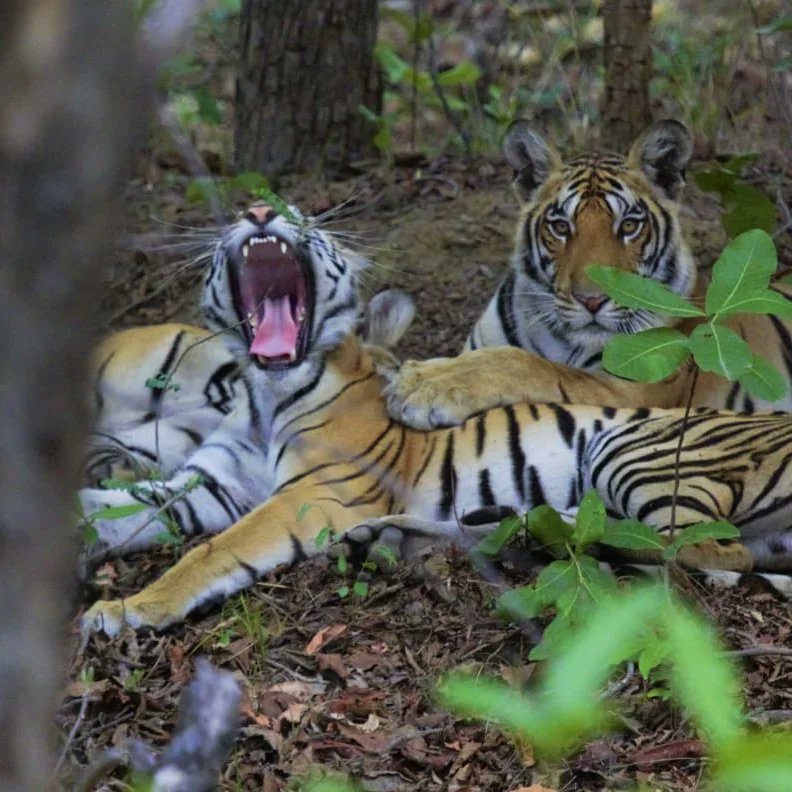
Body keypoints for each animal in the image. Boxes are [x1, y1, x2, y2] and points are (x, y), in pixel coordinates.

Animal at [81, 202, 792, 637]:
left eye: (303, 219)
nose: (258, 211)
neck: (260, 393)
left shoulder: (316, 494)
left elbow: (212, 551)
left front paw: (127, 607)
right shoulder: (212, 485)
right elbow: (112, 507)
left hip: (634, 455)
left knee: (700, 549)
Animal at [383, 120, 792, 430]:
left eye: (629, 226)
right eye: (561, 227)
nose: (592, 300)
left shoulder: (630, 388)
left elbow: (533, 366)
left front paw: (424, 386)